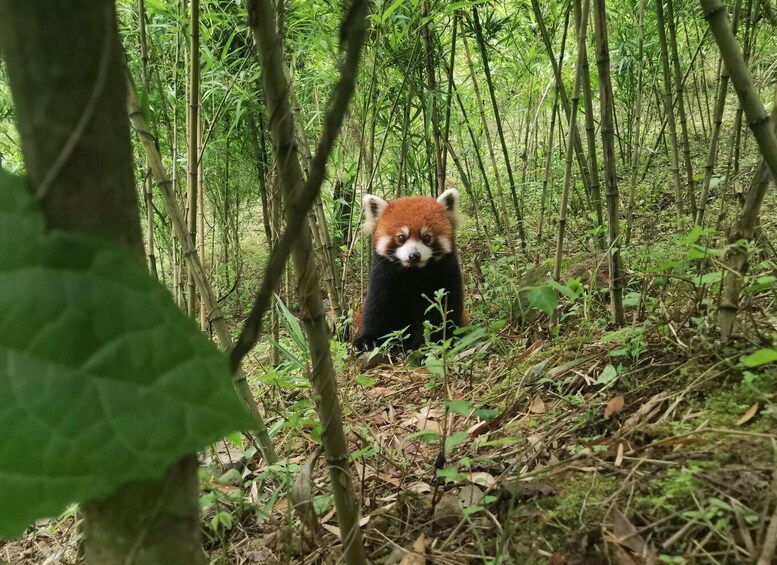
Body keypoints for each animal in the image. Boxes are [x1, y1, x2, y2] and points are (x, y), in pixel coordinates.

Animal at [354, 187, 466, 350]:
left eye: (426, 238)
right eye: (401, 238)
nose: (414, 256)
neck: (412, 272)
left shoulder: (446, 274)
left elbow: (439, 312)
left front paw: (423, 344)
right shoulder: (382, 275)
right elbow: (376, 307)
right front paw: (368, 339)